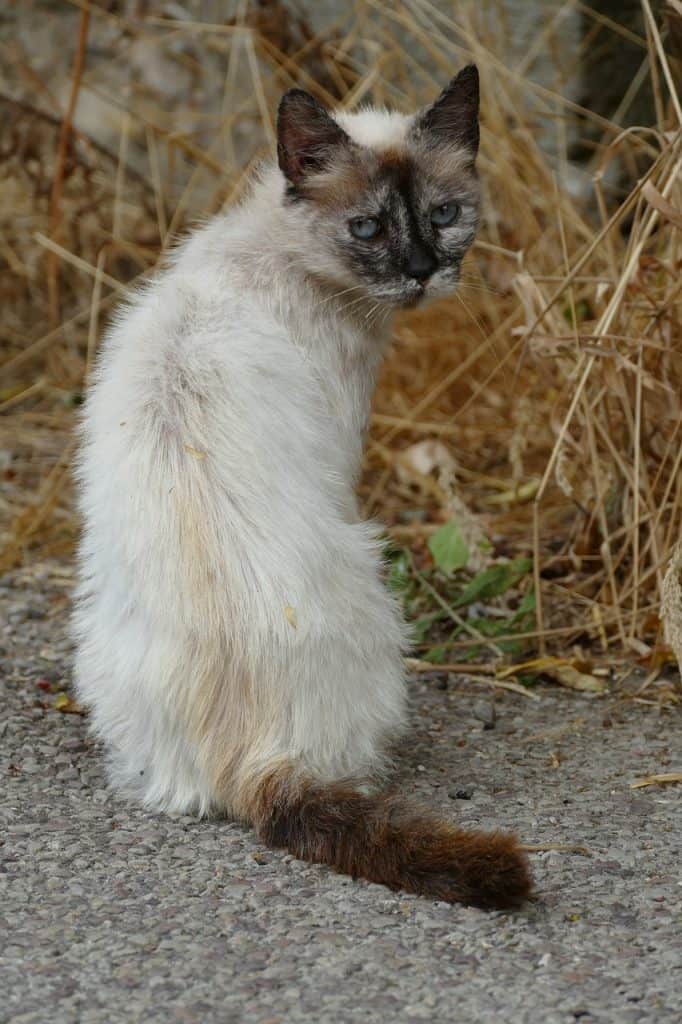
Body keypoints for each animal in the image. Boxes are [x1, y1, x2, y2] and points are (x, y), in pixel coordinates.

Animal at [74, 68, 532, 909]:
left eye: (443, 215)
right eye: (367, 228)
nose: (421, 269)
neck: (285, 256)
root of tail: (253, 763)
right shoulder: (344, 452)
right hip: (370, 567)